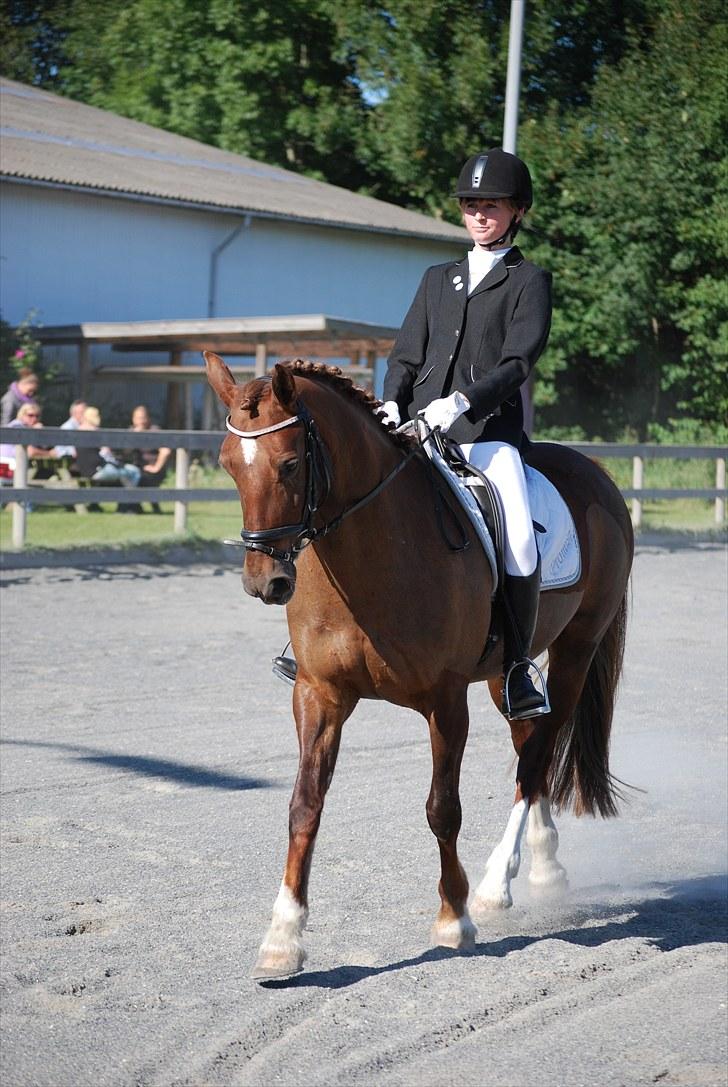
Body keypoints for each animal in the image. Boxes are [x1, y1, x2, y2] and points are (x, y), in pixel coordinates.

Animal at [204, 352, 634, 982]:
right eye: (229, 466)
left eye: (290, 464)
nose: (266, 582)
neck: (374, 547)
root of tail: (596, 472)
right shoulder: (318, 693)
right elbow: (304, 805)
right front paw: (282, 938)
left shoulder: (445, 701)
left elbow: (442, 809)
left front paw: (455, 919)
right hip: (507, 674)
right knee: (529, 736)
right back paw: (541, 866)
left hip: (576, 650)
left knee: (539, 753)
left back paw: (494, 885)